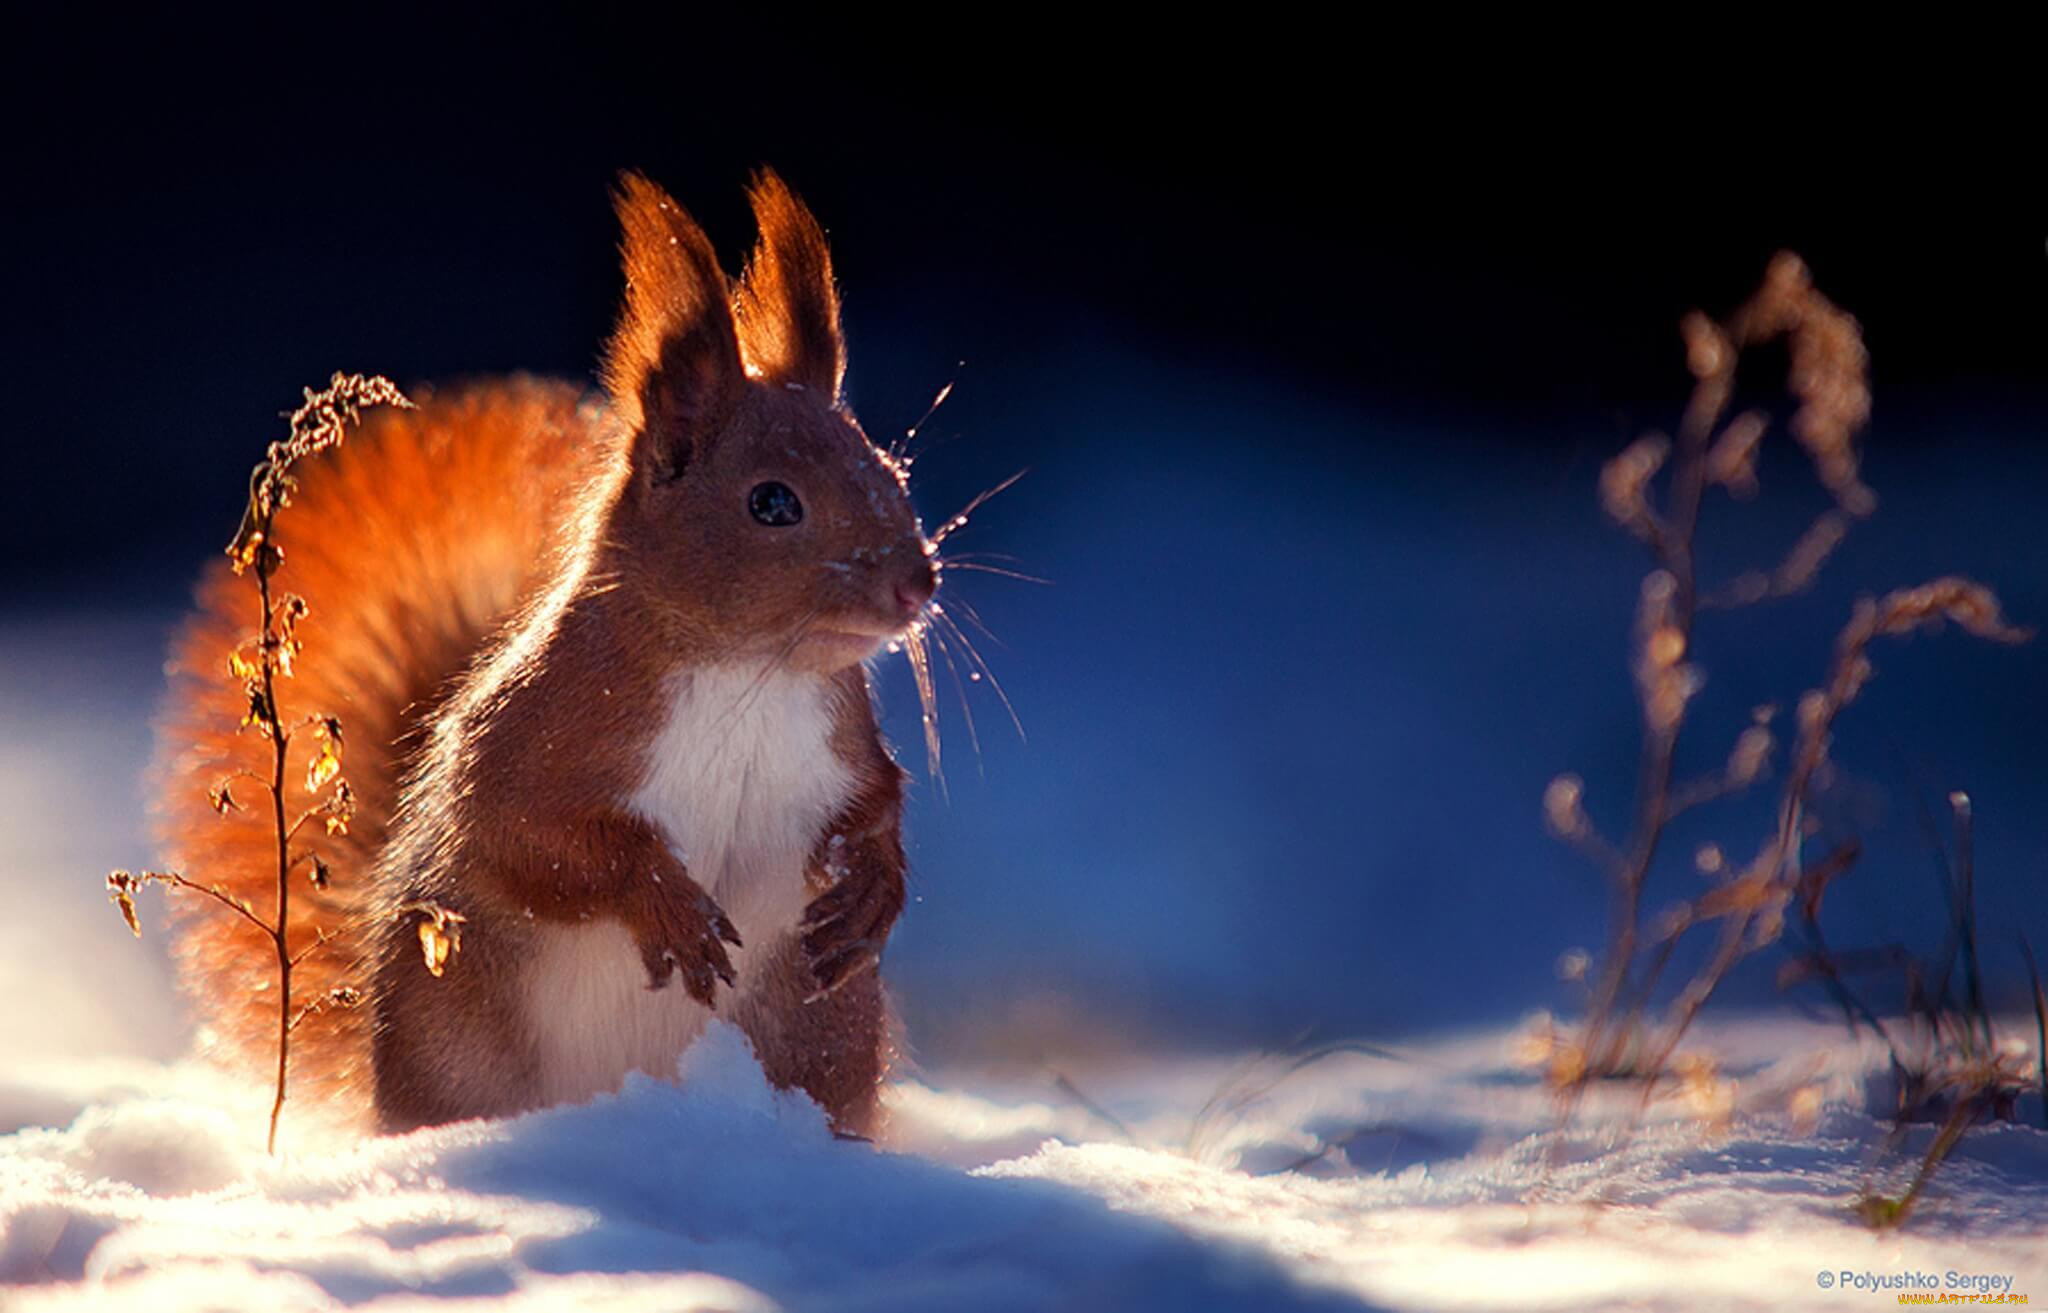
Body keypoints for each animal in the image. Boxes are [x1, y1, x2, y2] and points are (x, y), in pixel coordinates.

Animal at [151, 172, 937, 1138]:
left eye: (892, 471)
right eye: (773, 503)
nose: (918, 584)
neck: (749, 675)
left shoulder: (846, 741)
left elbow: (879, 804)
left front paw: (871, 890)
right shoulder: (532, 737)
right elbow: (528, 840)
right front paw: (663, 899)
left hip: (822, 1036)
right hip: (456, 1049)